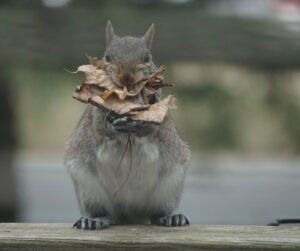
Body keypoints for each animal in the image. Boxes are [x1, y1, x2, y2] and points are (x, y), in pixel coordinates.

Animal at [64, 21, 191, 229]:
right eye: (107, 56)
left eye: (147, 57)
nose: (126, 77)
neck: (126, 100)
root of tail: (129, 214)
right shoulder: (96, 111)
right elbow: (100, 125)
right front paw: (114, 124)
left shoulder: (158, 112)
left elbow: (152, 127)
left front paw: (139, 125)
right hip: (87, 186)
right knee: (104, 212)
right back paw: (94, 220)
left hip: (170, 184)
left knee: (156, 213)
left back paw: (170, 217)